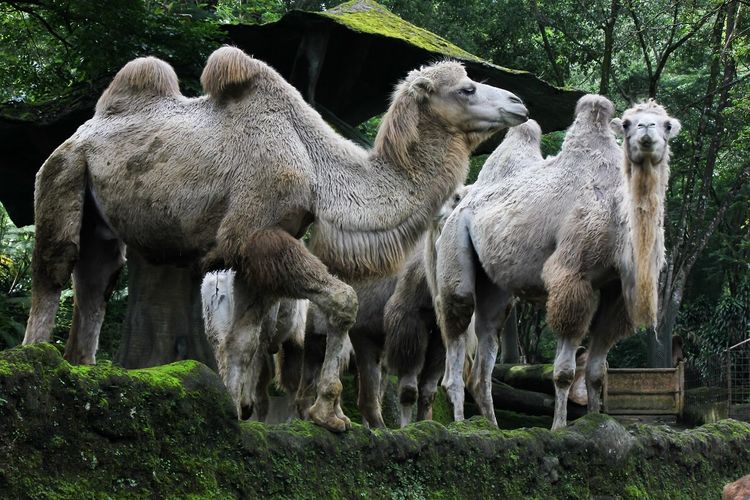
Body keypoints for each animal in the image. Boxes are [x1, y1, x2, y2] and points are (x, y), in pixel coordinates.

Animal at [23, 45, 528, 432]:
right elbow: (342, 300)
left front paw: (235, 413)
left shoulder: (261, 248)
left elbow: (244, 341)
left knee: (96, 282)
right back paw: (37, 363)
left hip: (102, 218)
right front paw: (328, 414)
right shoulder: (257, 234)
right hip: (63, 173)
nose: (519, 103)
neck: (315, 169)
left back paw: (82, 370)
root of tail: (84, 129)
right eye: (465, 89)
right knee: (54, 268)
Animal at [438, 96, 684, 430]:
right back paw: (461, 424)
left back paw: (491, 426)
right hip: (454, 244)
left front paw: (596, 420)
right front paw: (558, 427)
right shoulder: (572, 277)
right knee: (457, 325)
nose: (647, 131)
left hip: (495, 286)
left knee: (485, 351)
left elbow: (597, 372)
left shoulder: (615, 294)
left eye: (667, 124)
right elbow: (565, 372)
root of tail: (459, 205)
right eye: (628, 123)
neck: (616, 221)